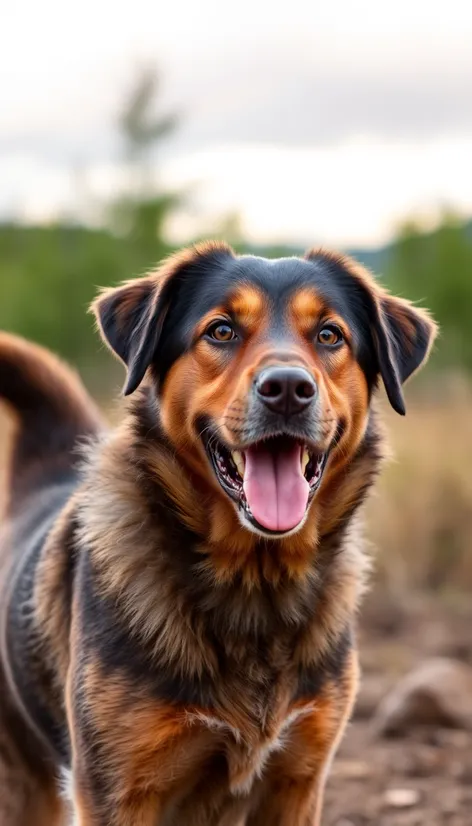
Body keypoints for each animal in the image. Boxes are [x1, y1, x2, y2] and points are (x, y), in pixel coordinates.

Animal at [0, 241, 436, 820]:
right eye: (222, 330)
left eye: (329, 335)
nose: (288, 389)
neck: (255, 579)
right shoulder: (115, 792)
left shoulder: (298, 782)